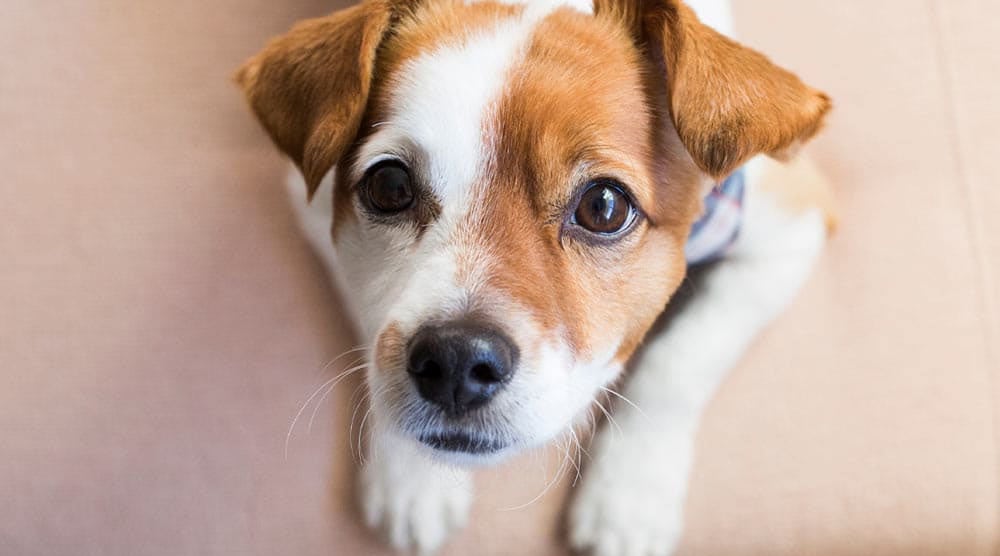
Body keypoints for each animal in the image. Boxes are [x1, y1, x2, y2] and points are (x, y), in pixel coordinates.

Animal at [234, 0, 828, 552]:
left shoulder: (792, 228)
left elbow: (677, 364)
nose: (455, 360)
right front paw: (414, 476)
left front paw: (629, 498)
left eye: (605, 206)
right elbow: (370, 332)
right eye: (389, 186)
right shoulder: (311, 210)